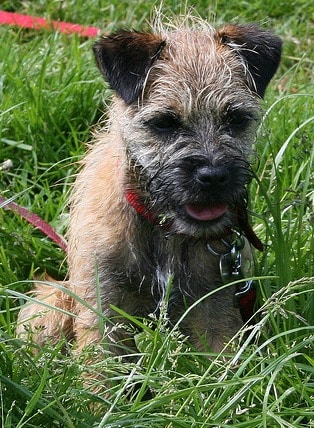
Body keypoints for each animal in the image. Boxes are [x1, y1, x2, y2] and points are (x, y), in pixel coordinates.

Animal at [17, 17, 282, 354]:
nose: (213, 175)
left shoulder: (216, 301)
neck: (163, 228)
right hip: (53, 300)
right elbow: (99, 359)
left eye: (235, 119)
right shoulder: (102, 298)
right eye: (165, 123)